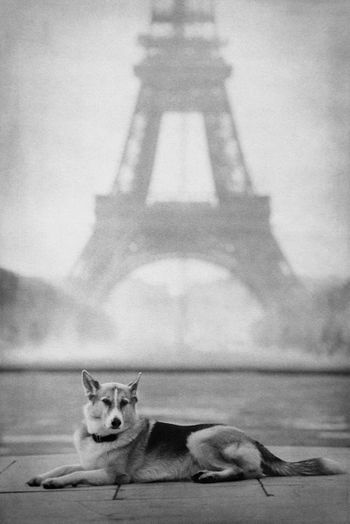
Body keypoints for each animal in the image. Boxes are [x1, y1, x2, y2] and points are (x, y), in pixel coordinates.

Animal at [27, 370, 344, 490]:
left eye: (124, 403)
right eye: (105, 402)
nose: (116, 421)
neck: (103, 437)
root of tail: (251, 437)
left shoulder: (113, 474)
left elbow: (75, 474)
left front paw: (54, 483)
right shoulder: (88, 461)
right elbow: (64, 467)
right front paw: (42, 476)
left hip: (197, 437)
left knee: (250, 472)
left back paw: (211, 477)